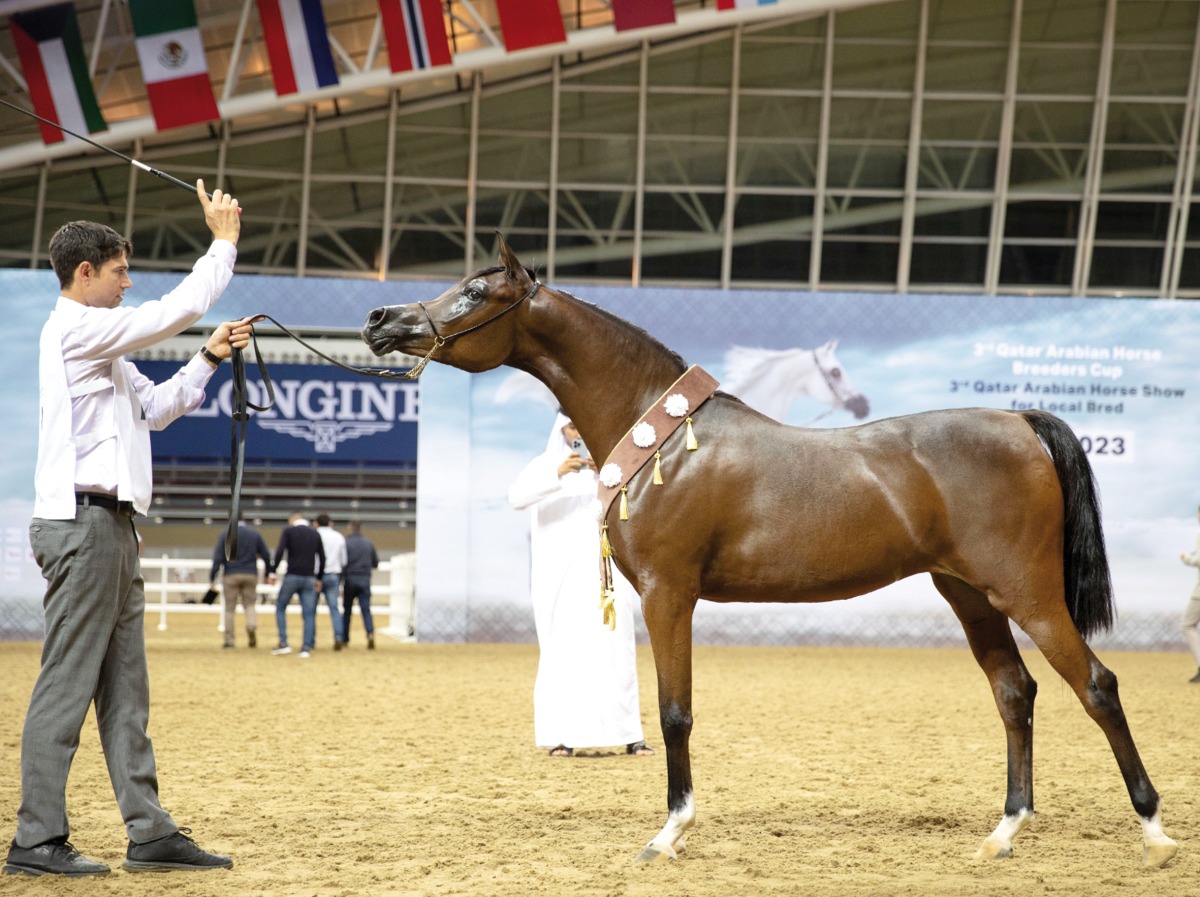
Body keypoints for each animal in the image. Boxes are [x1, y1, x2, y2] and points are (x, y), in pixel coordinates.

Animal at [360, 238, 1176, 868]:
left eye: (473, 292)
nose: (379, 319)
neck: (662, 436)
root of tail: (1020, 419)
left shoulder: (669, 593)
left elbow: (675, 712)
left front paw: (670, 832)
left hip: (1027, 593)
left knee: (1096, 685)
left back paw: (1154, 831)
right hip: (969, 594)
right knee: (1015, 692)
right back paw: (1003, 832)